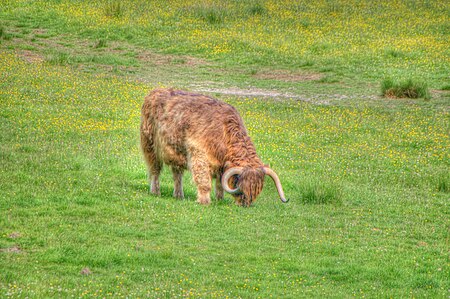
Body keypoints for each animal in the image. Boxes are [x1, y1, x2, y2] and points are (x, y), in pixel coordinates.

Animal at [141, 88, 288, 207]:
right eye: (240, 187)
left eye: (257, 188)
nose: (245, 204)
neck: (224, 132)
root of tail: (155, 91)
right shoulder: (199, 155)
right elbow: (204, 180)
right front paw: (204, 201)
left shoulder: (222, 165)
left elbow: (220, 183)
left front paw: (220, 199)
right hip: (150, 146)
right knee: (155, 170)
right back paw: (156, 192)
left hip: (176, 153)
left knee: (177, 174)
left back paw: (178, 195)